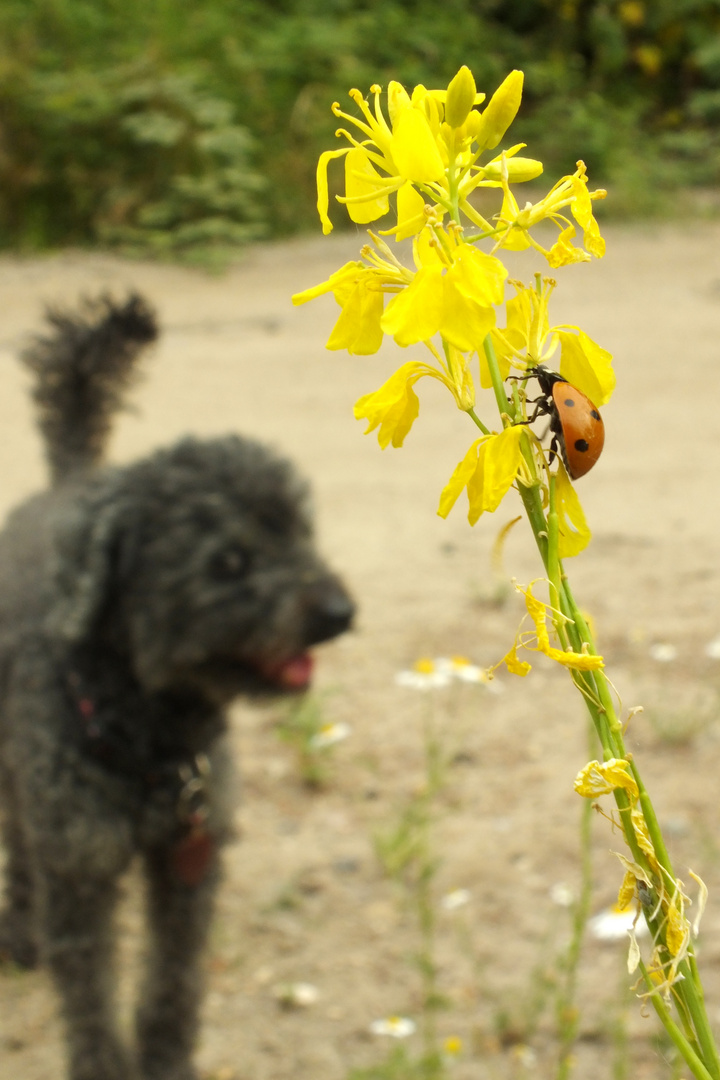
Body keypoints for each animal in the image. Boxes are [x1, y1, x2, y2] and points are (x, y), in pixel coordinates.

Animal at [0, 293, 351, 1080]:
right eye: (229, 560)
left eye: (302, 531)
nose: (341, 612)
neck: (151, 737)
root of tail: (68, 484)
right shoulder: (81, 870)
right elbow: (89, 994)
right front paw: (104, 1065)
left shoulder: (190, 863)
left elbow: (174, 979)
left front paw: (163, 1059)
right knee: (20, 848)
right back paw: (20, 933)